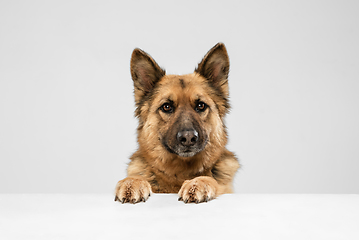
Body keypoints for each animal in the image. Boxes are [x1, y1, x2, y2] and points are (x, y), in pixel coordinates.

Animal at [114, 42, 239, 203]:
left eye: (201, 106)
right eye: (167, 107)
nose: (188, 138)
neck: (180, 172)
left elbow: (211, 179)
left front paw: (198, 182)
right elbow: (138, 177)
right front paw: (132, 182)